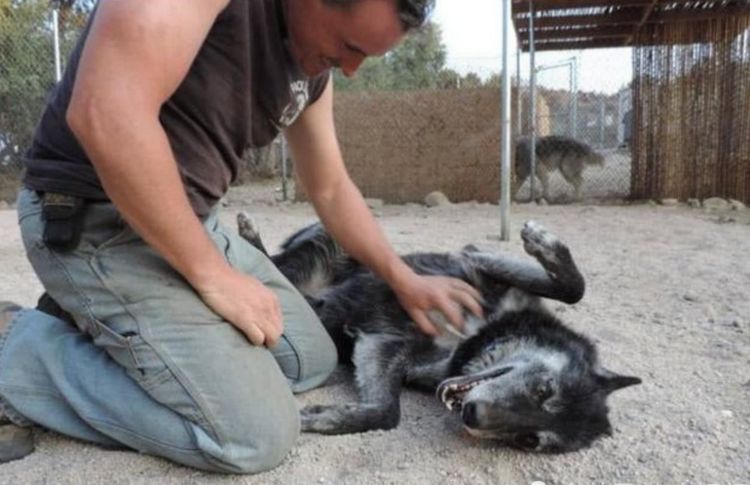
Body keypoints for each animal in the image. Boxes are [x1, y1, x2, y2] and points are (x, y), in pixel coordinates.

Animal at [236, 214, 640, 452]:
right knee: (276, 265)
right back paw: (249, 241)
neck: (478, 334)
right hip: (330, 243)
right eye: (544, 389)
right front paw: (543, 243)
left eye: (528, 440)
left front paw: (324, 417)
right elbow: (573, 288)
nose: (472, 415)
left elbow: (385, 413)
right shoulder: (473, 261)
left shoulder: (384, 346)